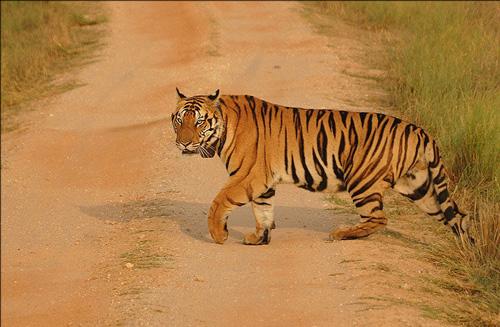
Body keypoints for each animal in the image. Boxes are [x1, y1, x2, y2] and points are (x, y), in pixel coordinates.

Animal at [171, 89, 468, 246]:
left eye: (198, 122)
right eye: (179, 120)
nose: (183, 143)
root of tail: (421, 131)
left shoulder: (248, 176)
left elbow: (219, 202)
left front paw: (218, 235)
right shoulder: (262, 182)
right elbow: (263, 210)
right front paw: (259, 238)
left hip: (362, 180)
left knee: (378, 218)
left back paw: (342, 233)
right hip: (420, 187)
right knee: (458, 216)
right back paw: (467, 249)